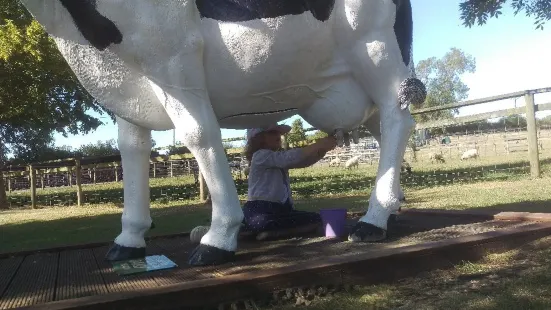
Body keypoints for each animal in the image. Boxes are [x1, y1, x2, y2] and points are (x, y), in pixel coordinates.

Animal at [19, 0, 426, 266]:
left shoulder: (175, 62)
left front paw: (220, 237)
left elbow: (199, 135)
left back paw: (373, 220)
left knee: (397, 119)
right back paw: (391, 208)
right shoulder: (130, 88)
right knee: (384, 128)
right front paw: (129, 239)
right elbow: (132, 150)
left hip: (376, 50)